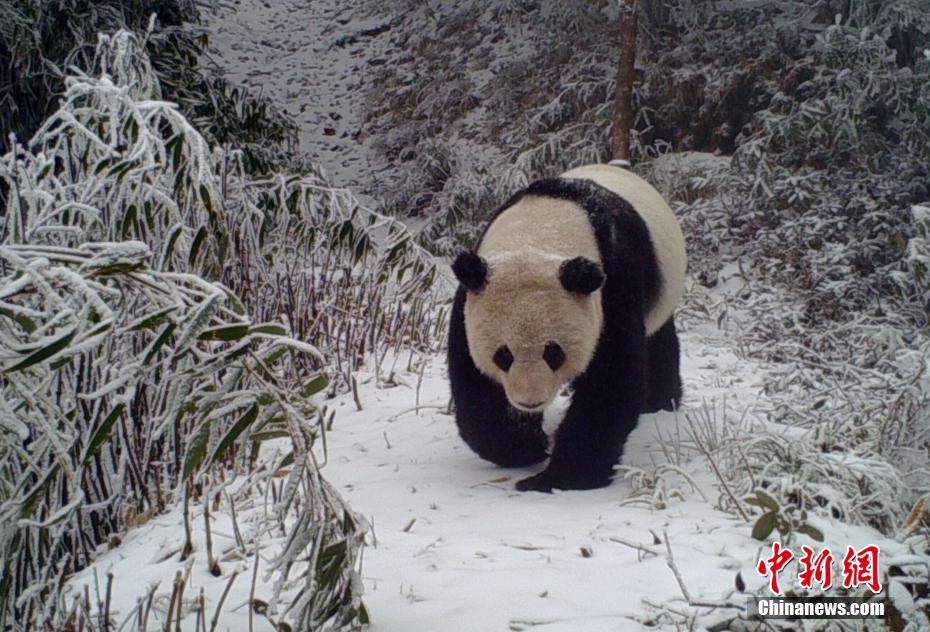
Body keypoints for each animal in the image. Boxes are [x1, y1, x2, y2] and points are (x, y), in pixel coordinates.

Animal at [446, 163, 684, 494]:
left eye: (553, 353)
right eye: (503, 355)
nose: (529, 401)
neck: (541, 232)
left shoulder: (614, 284)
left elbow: (610, 381)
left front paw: (557, 478)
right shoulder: (472, 296)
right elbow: (473, 382)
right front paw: (524, 446)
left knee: (659, 341)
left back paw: (661, 401)